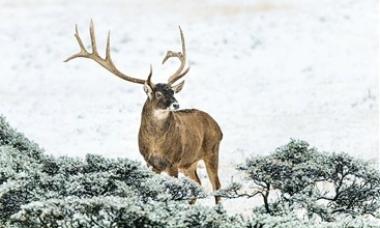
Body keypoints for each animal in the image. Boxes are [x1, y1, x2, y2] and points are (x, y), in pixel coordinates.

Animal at [65, 20, 223, 203]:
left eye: (173, 92)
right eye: (159, 94)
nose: (176, 104)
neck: (156, 144)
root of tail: (217, 125)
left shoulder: (173, 161)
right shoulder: (150, 163)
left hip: (211, 150)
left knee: (216, 186)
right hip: (189, 163)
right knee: (197, 184)